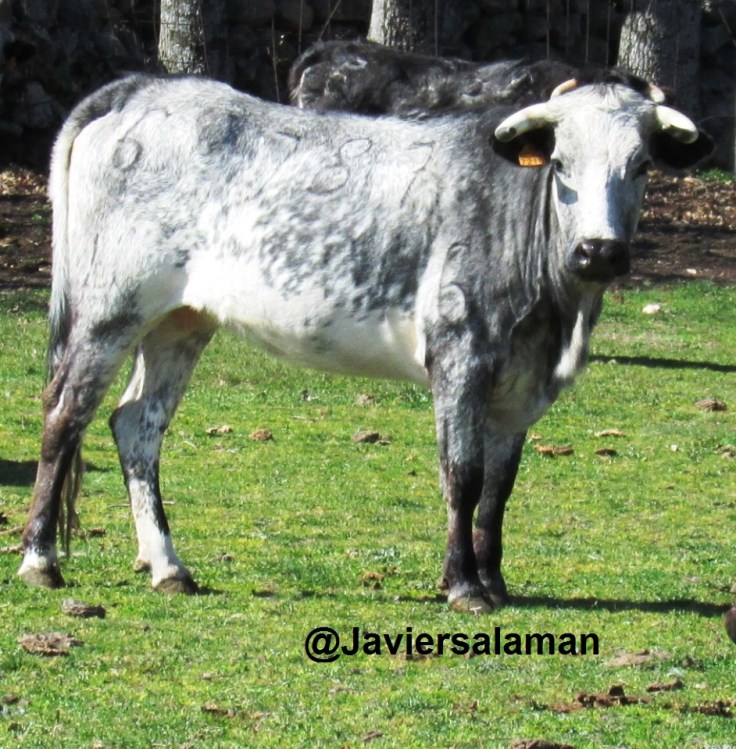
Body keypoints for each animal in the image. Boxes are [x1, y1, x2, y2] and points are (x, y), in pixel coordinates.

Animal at [18, 71, 711, 613]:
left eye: (641, 166)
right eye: (562, 164)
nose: (599, 251)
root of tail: (143, 88)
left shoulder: (519, 388)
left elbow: (498, 488)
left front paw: (494, 581)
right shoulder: (461, 353)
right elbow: (462, 474)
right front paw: (463, 586)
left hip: (180, 320)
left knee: (136, 423)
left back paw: (167, 566)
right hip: (110, 308)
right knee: (64, 414)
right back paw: (40, 560)